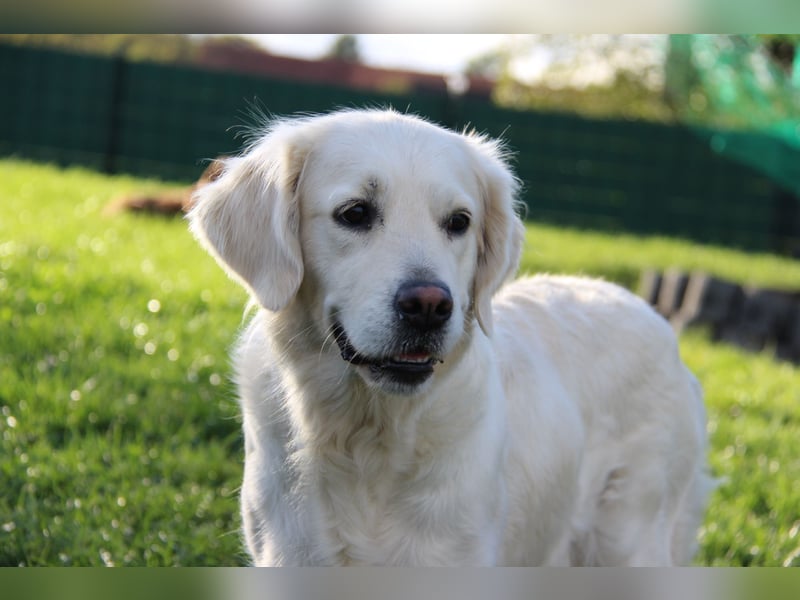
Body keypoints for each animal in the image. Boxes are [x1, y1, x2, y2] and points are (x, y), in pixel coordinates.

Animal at [189, 109, 712, 568]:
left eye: (459, 222)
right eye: (355, 212)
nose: (428, 306)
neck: (368, 438)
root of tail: (655, 318)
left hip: (628, 538)